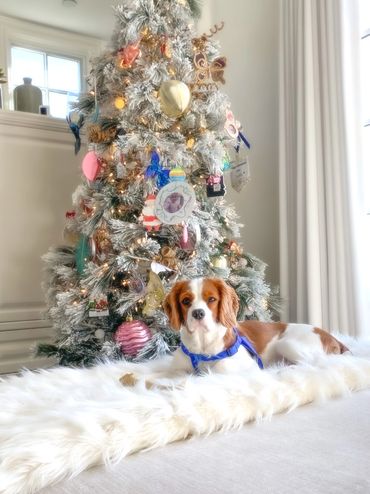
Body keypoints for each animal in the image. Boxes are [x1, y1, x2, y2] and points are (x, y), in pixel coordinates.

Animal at [119, 276, 350, 388]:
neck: (202, 345)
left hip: (287, 343)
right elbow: (154, 373)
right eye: (186, 301)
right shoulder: (179, 368)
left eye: (212, 299)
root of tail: (334, 338)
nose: (198, 313)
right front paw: (132, 376)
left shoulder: (229, 371)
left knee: (317, 363)